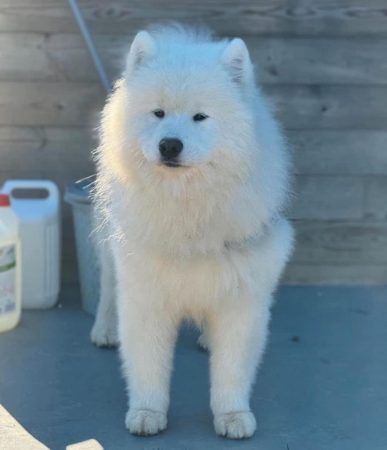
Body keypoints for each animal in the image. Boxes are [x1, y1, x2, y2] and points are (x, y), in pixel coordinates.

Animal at [90, 24, 294, 440]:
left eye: (201, 117)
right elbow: (148, 365)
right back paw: (104, 328)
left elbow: (231, 369)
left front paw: (232, 416)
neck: (188, 206)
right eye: (158, 113)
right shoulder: (146, 291)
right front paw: (147, 413)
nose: (170, 144)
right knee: (107, 287)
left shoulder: (241, 296)